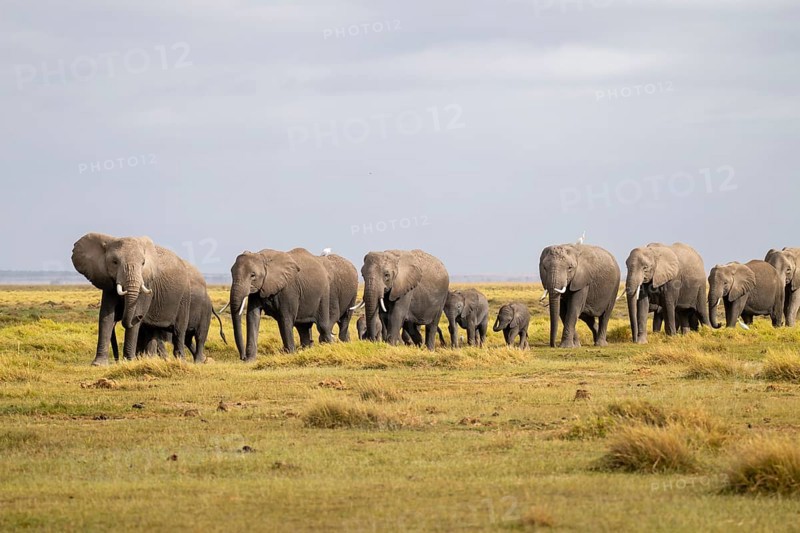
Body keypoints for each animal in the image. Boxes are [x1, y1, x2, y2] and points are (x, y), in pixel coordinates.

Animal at [71, 233, 194, 365]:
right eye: (115, 262)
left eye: (143, 263)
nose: (140, 316)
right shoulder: (108, 282)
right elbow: (106, 316)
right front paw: (98, 364)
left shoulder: (147, 283)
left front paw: (129, 361)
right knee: (153, 330)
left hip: (184, 297)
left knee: (179, 330)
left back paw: (181, 361)